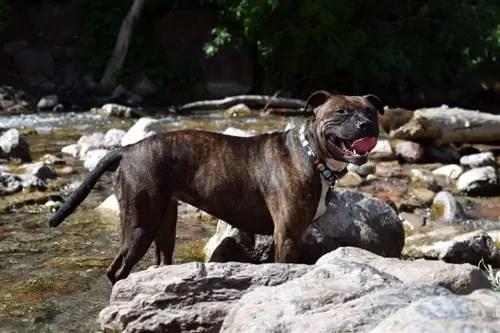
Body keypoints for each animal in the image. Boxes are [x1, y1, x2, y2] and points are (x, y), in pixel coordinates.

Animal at [47, 91, 382, 282]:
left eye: (370, 112)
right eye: (341, 112)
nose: (366, 125)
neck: (311, 153)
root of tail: (129, 148)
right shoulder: (286, 235)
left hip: (164, 222)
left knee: (161, 259)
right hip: (140, 224)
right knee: (116, 270)